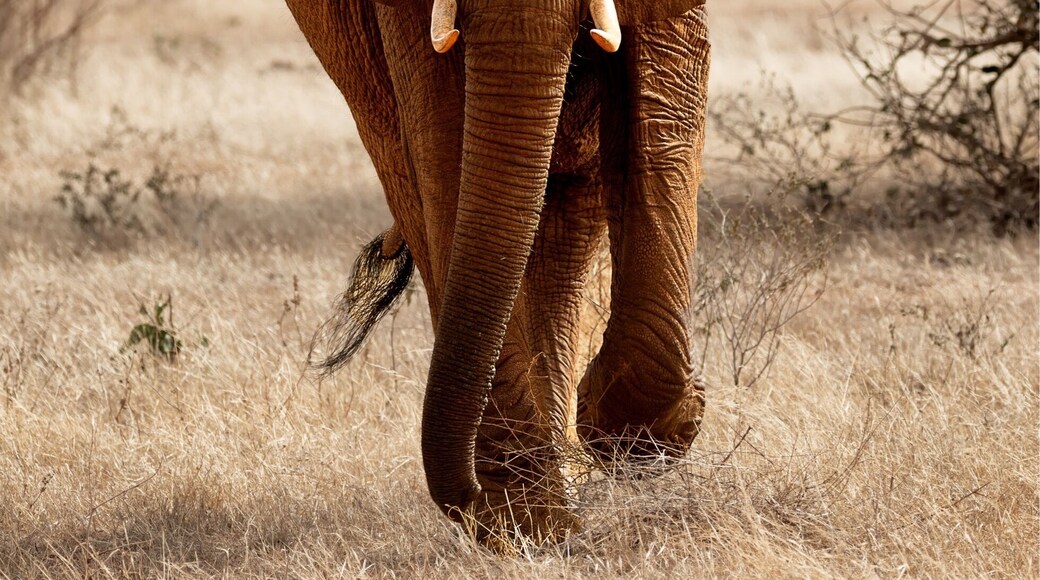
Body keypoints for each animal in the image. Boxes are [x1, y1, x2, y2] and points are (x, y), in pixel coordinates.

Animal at [286, 0, 710, 543]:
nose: (464, 499)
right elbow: (444, 139)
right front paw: (524, 521)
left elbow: (664, 97)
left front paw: (630, 434)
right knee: (409, 180)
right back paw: (539, 510)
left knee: (570, 204)